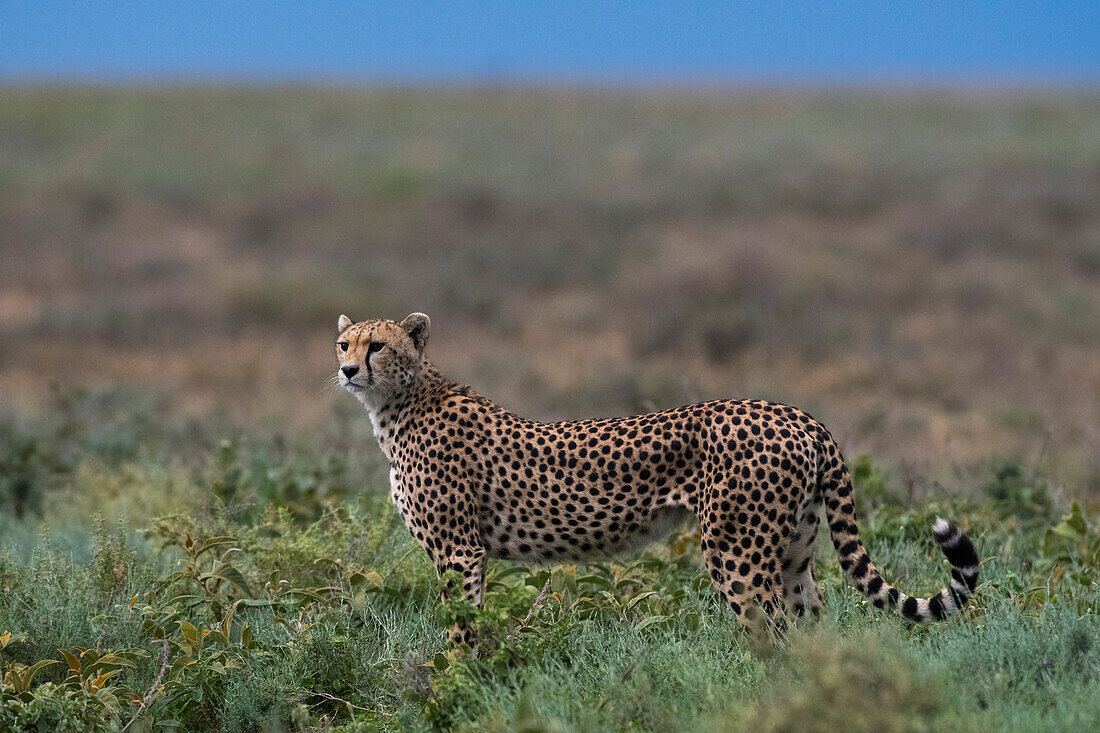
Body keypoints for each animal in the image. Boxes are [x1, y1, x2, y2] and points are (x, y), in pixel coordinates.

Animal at [332, 310, 981, 642]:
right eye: (343, 343)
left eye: (378, 346)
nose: (346, 370)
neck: (400, 402)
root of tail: (795, 413)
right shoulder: (468, 553)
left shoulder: (458, 551)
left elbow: (459, 630)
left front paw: (456, 683)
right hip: (793, 549)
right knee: (811, 627)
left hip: (737, 553)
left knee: (770, 635)